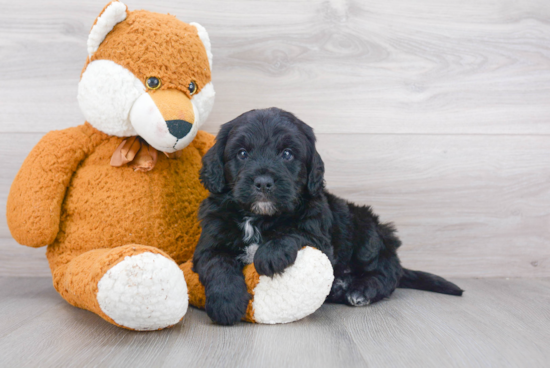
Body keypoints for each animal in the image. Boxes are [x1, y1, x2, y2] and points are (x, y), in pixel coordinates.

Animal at [193, 107, 462, 324]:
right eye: (242, 153)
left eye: (287, 154)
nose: (263, 182)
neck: (259, 217)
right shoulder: (210, 241)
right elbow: (218, 263)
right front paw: (226, 303)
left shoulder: (318, 235)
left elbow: (294, 233)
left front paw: (270, 254)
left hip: (367, 232)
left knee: (387, 273)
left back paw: (361, 291)